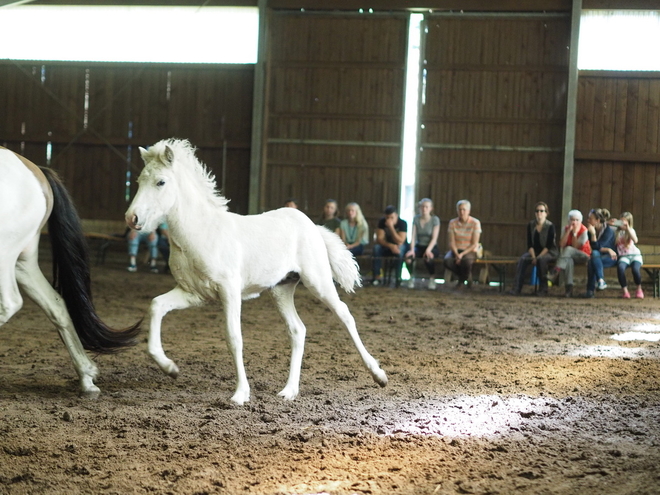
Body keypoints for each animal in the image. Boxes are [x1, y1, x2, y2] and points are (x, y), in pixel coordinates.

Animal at [0, 146, 141, 396]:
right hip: (22, 262)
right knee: (56, 305)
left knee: (10, 303)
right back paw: (87, 377)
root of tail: (36, 171)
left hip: (6, 254)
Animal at [125, 138, 386, 404]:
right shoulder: (194, 293)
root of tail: (312, 225)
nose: (131, 218)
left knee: (344, 314)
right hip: (281, 289)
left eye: (161, 182)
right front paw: (170, 368)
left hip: (318, 281)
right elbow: (157, 305)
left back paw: (379, 375)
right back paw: (289, 391)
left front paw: (241, 393)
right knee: (297, 330)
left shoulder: (229, 290)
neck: (201, 232)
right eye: (138, 181)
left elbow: (234, 337)